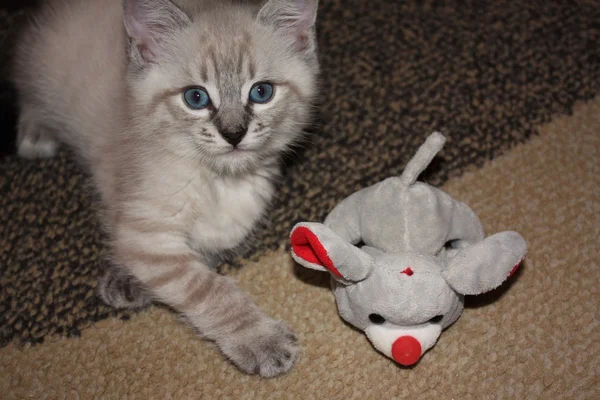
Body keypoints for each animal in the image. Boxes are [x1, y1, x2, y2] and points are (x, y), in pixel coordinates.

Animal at [11, 0, 318, 378]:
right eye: (195, 98)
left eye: (261, 92)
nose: (234, 134)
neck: (219, 180)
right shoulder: (145, 233)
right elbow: (209, 289)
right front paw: (261, 339)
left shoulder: (226, 228)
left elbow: (202, 255)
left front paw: (129, 281)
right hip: (44, 67)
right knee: (27, 92)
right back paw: (36, 133)